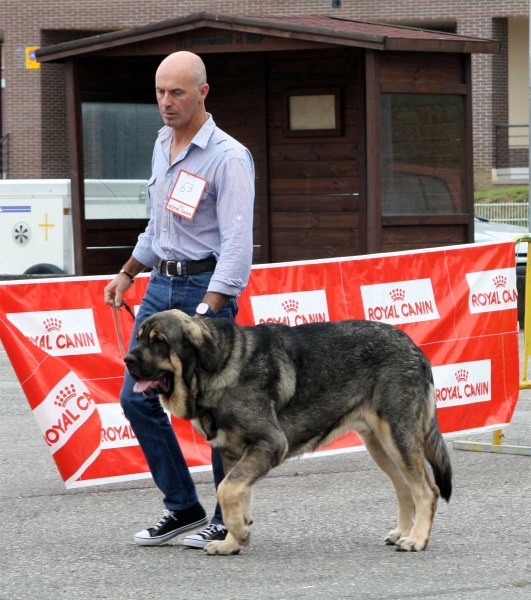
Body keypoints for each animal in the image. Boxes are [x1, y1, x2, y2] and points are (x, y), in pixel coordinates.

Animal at [125, 312, 454, 556]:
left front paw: (239, 533)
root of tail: (414, 347)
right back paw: (403, 532)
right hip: (380, 443)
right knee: (405, 487)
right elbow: (234, 493)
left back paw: (417, 539)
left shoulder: (270, 444)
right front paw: (233, 541)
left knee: (427, 490)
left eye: (159, 342)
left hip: (397, 435)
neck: (215, 368)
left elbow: (227, 490)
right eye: (138, 338)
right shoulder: (233, 453)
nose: (128, 360)